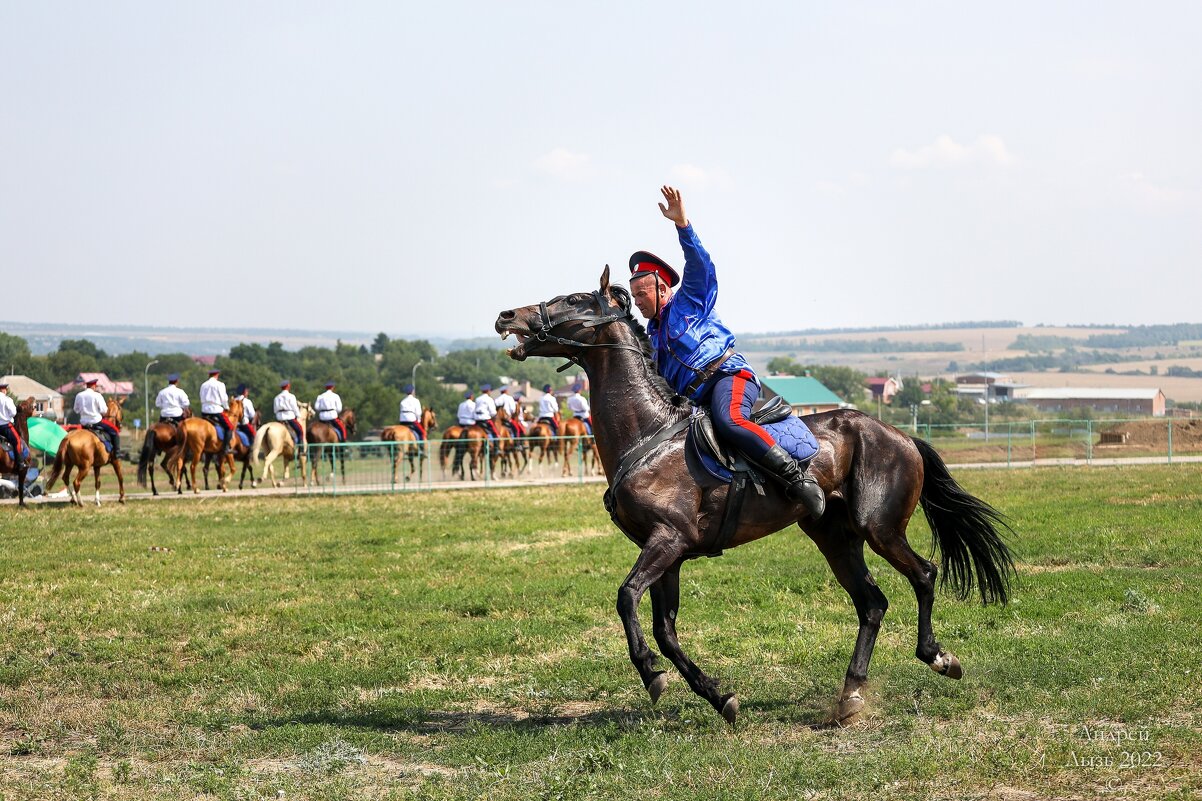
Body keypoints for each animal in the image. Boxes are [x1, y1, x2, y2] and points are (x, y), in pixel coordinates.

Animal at [497, 268, 1014, 721]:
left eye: (574, 299)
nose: (506, 315)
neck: (647, 434)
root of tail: (902, 436)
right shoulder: (669, 553)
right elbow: (666, 631)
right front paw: (718, 697)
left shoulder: (667, 541)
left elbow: (627, 599)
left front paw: (651, 674)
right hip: (834, 538)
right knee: (872, 604)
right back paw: (850, 695)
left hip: (880, 528)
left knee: (924, 575)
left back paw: (938, 658)